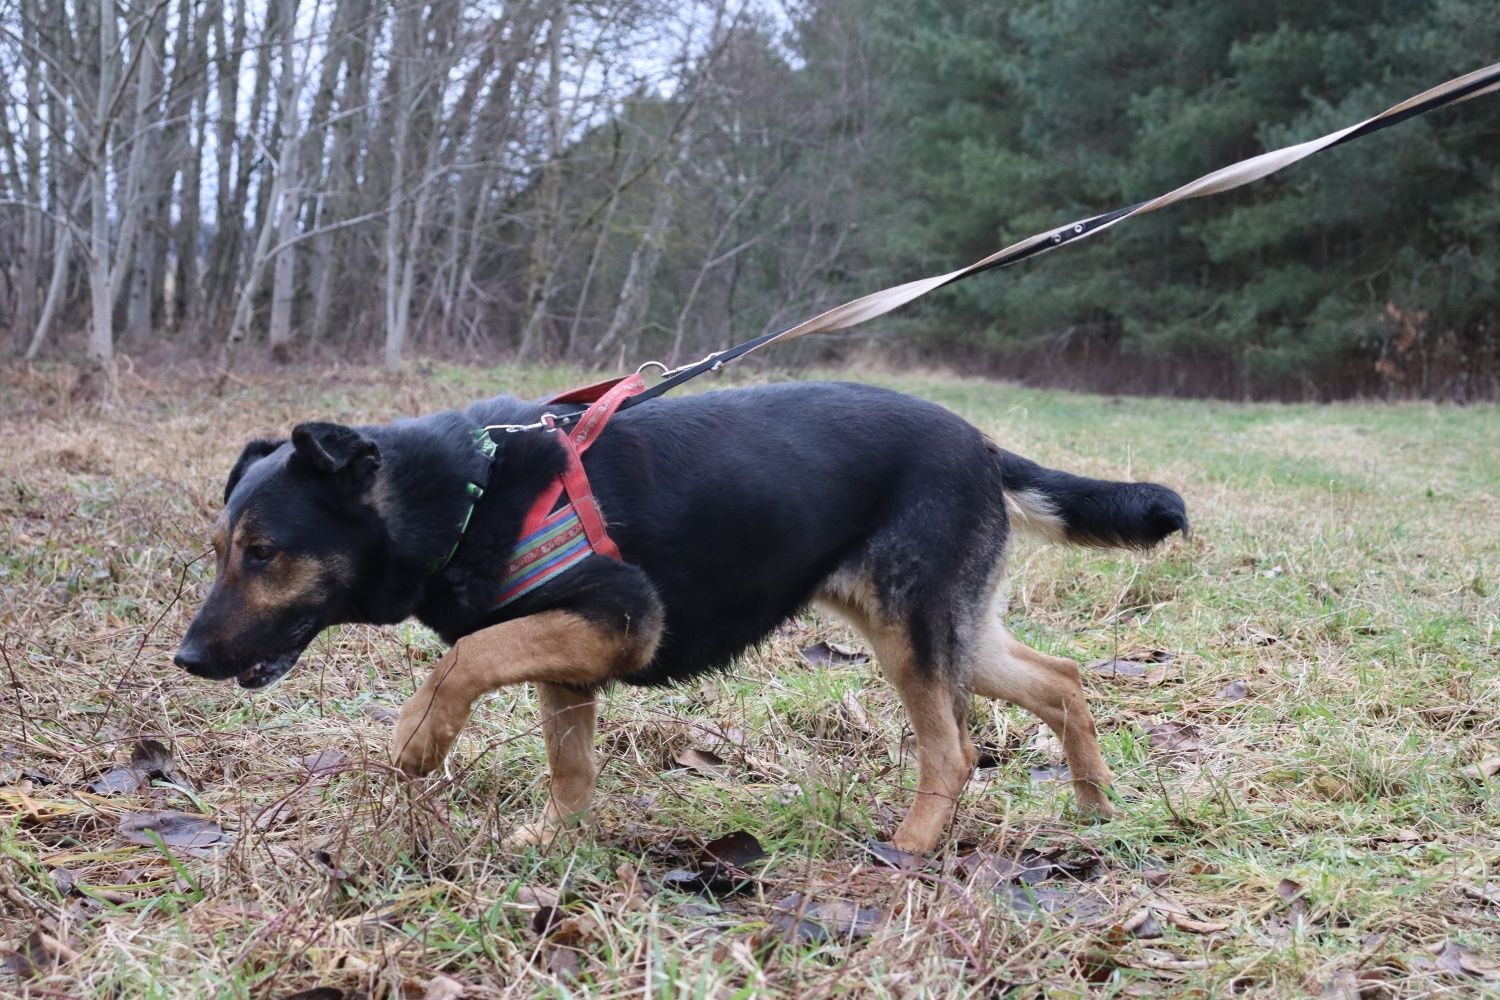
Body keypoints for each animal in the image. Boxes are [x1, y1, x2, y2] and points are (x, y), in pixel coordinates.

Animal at [175, 380, 1182, 851]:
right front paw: (559, 842)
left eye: (263, 553)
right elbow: (569, 764)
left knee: (955, 751)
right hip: (949, 630)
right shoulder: (569, 658)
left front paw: (420, 739)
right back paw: (1095, 807)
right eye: (222, 549)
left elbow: (462, 661)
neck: (462, 495)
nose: (186, 659)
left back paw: (911, 847)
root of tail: (982, 442)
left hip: (912, 633)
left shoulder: (618, 619)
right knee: (1063, 680)